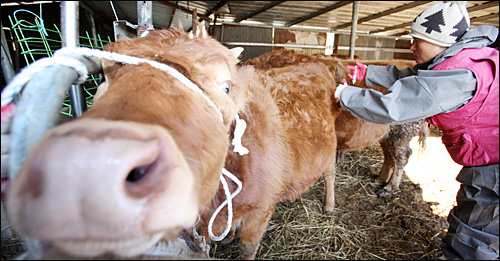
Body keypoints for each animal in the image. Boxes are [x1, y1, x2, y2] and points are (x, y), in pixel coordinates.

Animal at [7, 24, 342, 258]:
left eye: (225, 86)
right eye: (105, 71)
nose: (93, 169)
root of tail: (315, 61)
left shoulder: (261, 211)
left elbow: (247, 248)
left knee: (330, 173)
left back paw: (329, 205)